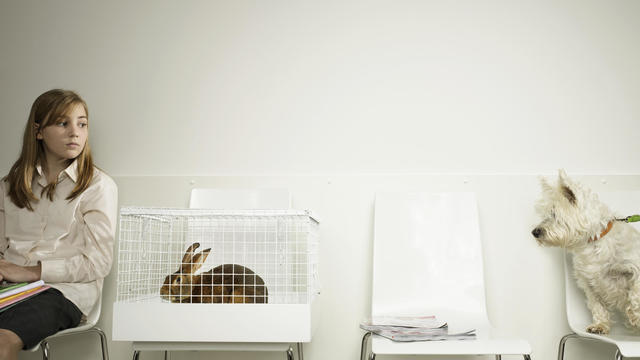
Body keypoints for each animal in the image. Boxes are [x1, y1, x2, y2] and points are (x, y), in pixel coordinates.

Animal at [528, 170, 640, 334]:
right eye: (545, 214)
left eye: (554, 214)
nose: (534, 232)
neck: (593, 242)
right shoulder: (588, 281)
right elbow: (597, 305)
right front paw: (600, 325)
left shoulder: (634, 267)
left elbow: (635, 294)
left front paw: (635, 317)